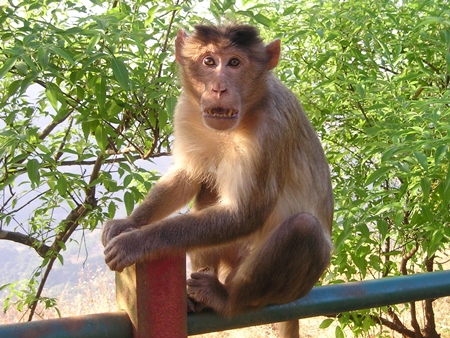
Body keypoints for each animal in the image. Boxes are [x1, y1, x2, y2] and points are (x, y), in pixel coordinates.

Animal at [103, 23, 334, 338]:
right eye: (209, 62)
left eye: (235, 63)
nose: (218, 88)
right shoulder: (186, 110)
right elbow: (188, 176)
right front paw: (129, 223)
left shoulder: (270, 127)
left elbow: (245, 213)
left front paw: (136, 242)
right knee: (207, 189)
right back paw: (196, 298)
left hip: (284, 286)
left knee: (303, 228)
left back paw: (225, 299)